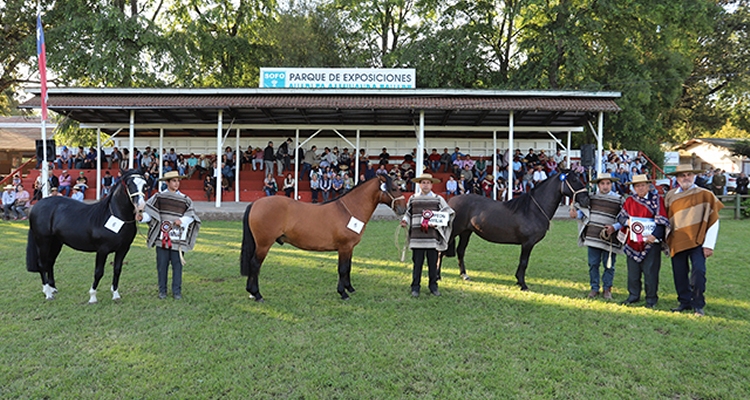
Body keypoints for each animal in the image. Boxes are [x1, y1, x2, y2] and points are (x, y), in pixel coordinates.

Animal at [26, 169, 147, 304]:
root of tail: (36, 206)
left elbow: (117, 269)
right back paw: (48, 294)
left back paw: (53, 289)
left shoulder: (123, 249)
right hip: (43, 242)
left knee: (50, 262)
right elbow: (98, 272)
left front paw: (115, 295)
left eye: (145, 185)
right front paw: (92, 297)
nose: (141, 206)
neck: (114, 216)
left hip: (56, 242)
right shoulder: (102, 250)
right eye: (129, 184)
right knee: (42, 264)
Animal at [241, 173, 406, 302]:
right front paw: (343, 293)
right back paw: (257, 294)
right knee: (255, 264)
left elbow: (348, 267)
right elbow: (342, 268)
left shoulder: (349, 248)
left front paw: (350, 288)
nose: (403, 209)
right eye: (393, 188)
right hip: (263, 244)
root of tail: (255, 203)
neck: (349, 210)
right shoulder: (344, 247)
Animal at [440, 170, 592, 290]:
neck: (532, 210)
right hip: (454, 232)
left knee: (461, 251)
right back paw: (438, 277)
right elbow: (524, 262)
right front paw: (523, 284)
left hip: (466, 232)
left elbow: (522, 262)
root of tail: (450, 202)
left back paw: (464, 275)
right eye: (574, 180)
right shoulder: (527, 243)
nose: (586, 200)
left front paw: (519, 281)